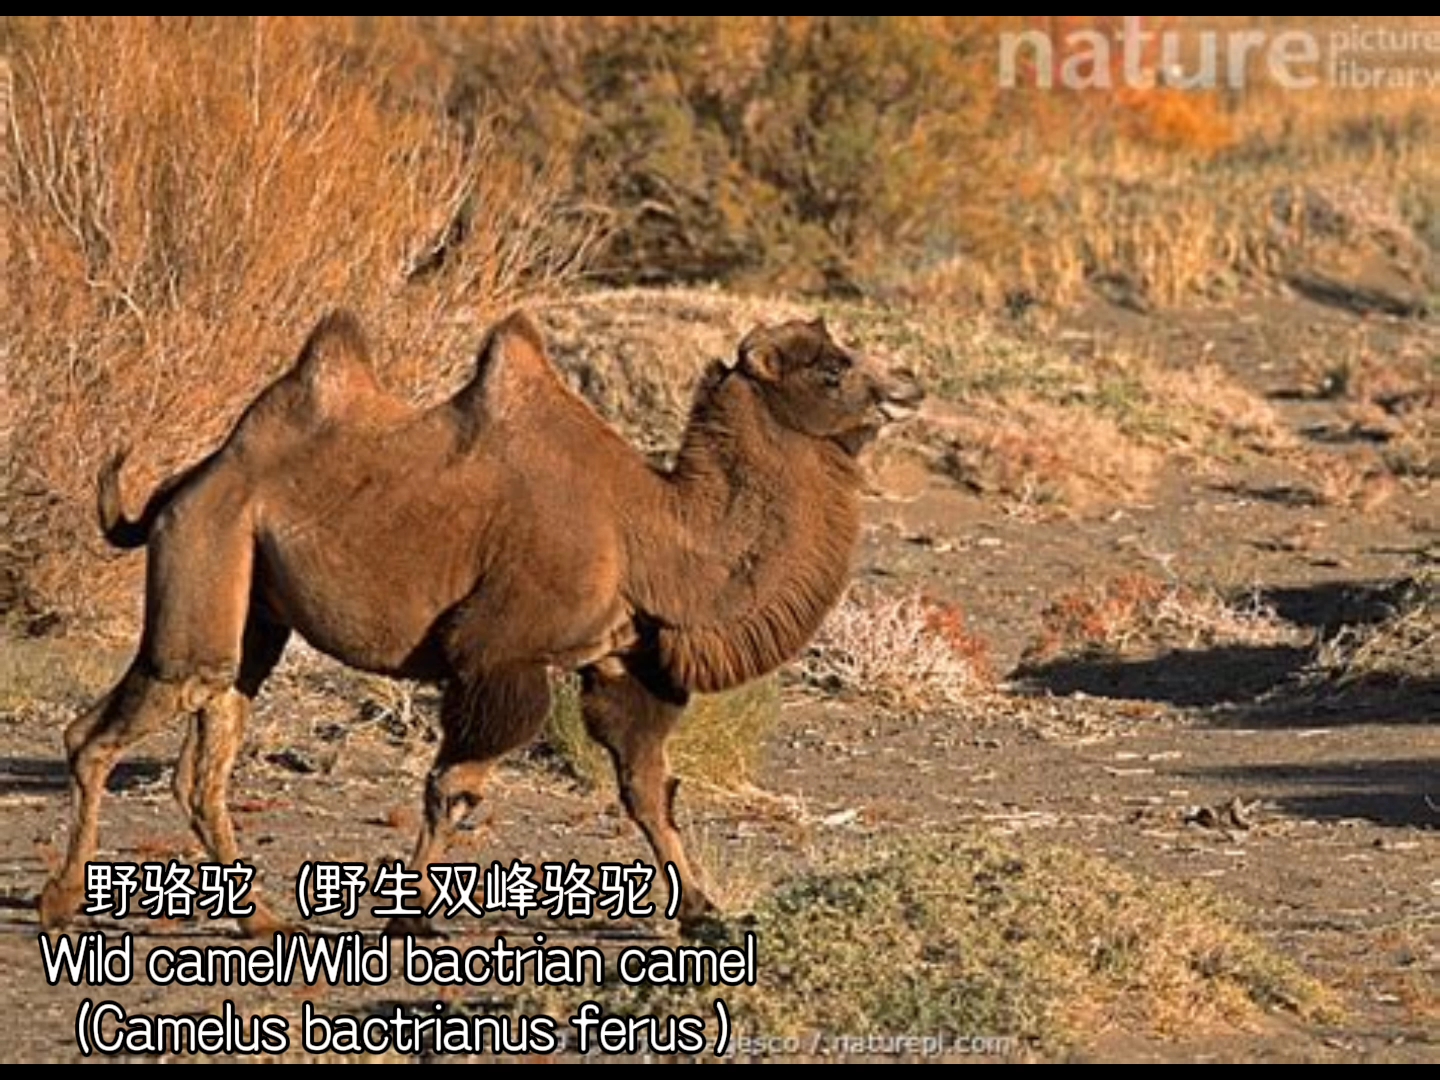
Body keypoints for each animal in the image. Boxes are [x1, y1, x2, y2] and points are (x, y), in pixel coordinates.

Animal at [45, 308, 927, 933]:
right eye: (832, 366)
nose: (911, 384)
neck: (652, 531)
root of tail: (179, 486)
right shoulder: (500, 654)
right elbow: (454, 787)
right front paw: (413, 917)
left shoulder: (615, 659)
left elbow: (649, 789)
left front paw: (703, 911)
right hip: (207, 556)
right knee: (126, 718)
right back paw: (61, 904)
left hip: (255, 610)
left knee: (208, 747)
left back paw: (257, 918)